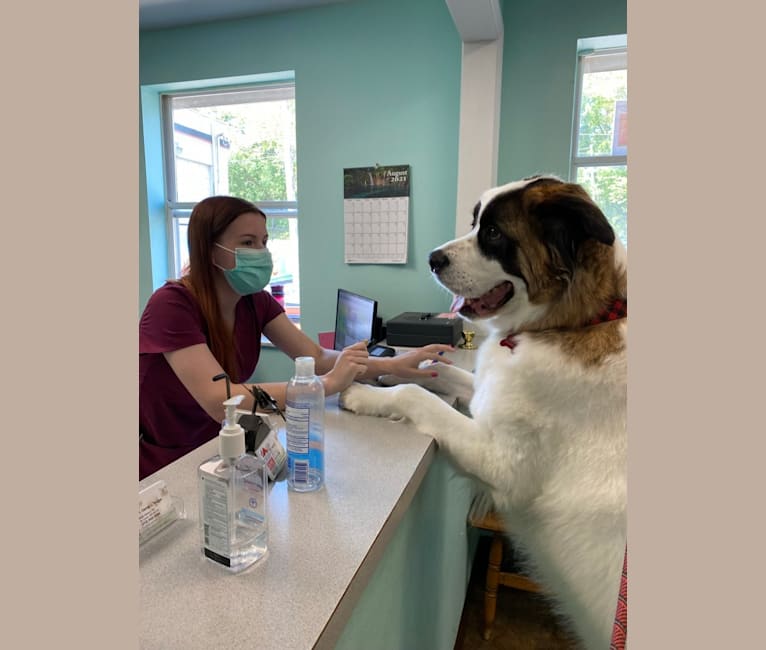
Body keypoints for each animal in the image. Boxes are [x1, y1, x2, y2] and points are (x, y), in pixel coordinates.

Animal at [342, 175, 632, 644]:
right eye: (475, 222)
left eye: (493, 233)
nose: (431, 259)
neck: (570, 322)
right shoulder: (483, 392)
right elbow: (438, 371)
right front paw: (384, 370)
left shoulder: (499, 461)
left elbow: (413, 396)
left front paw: (363, 394)